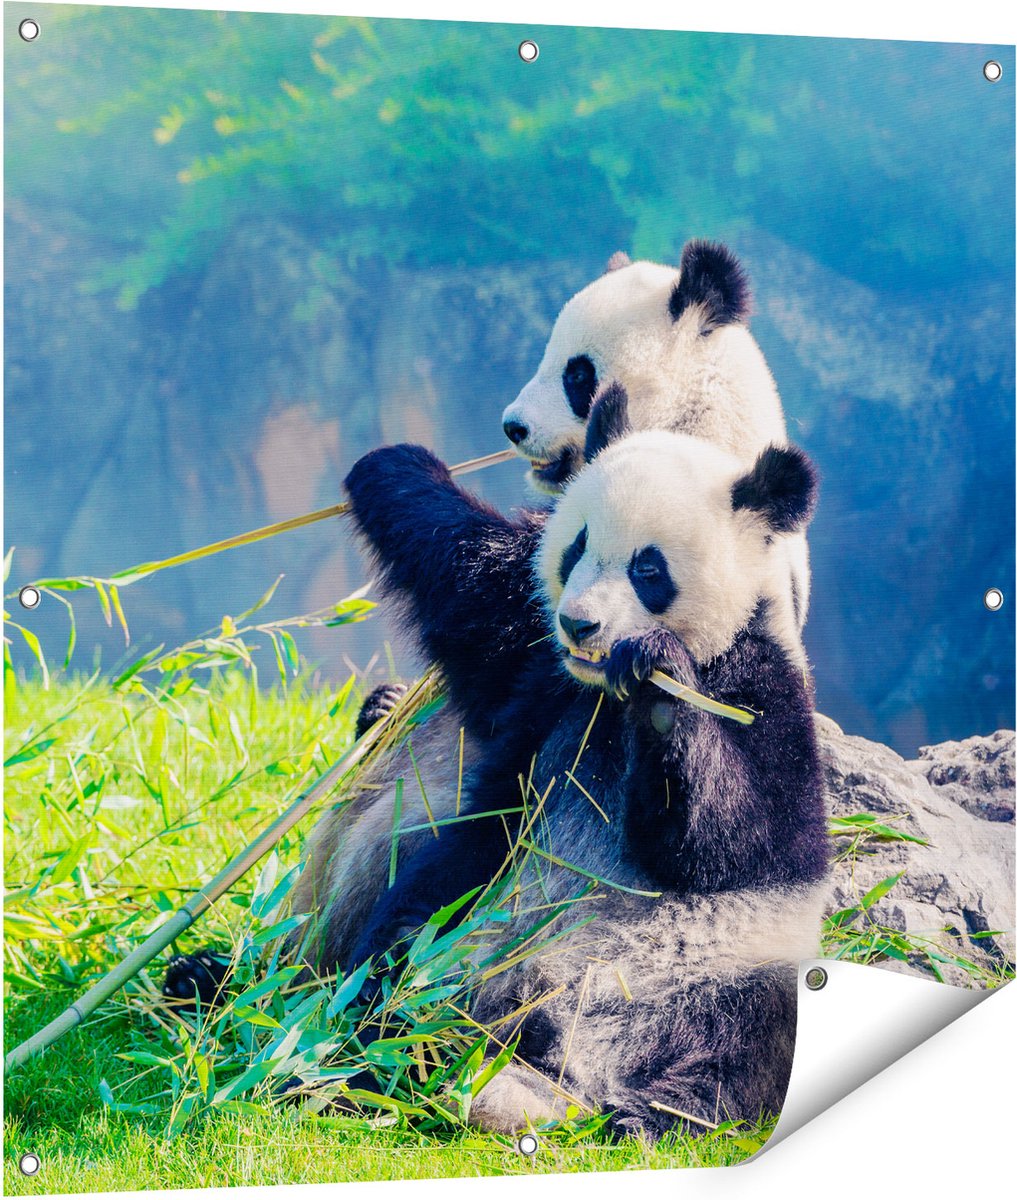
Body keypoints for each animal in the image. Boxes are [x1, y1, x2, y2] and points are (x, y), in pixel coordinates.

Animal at [335, 385, 829, 1137]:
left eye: (648, 569)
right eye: (576, 547)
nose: (579, 624)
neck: (604, 696)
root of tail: (563, 1054)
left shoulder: (763, 685)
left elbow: (738, 840)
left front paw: (660, 686)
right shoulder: (544, 688)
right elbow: (477, 603)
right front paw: (395, 467)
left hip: (727, 968)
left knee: (758, 1038)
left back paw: (652, 1112)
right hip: (472, 922)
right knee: (405, 943)